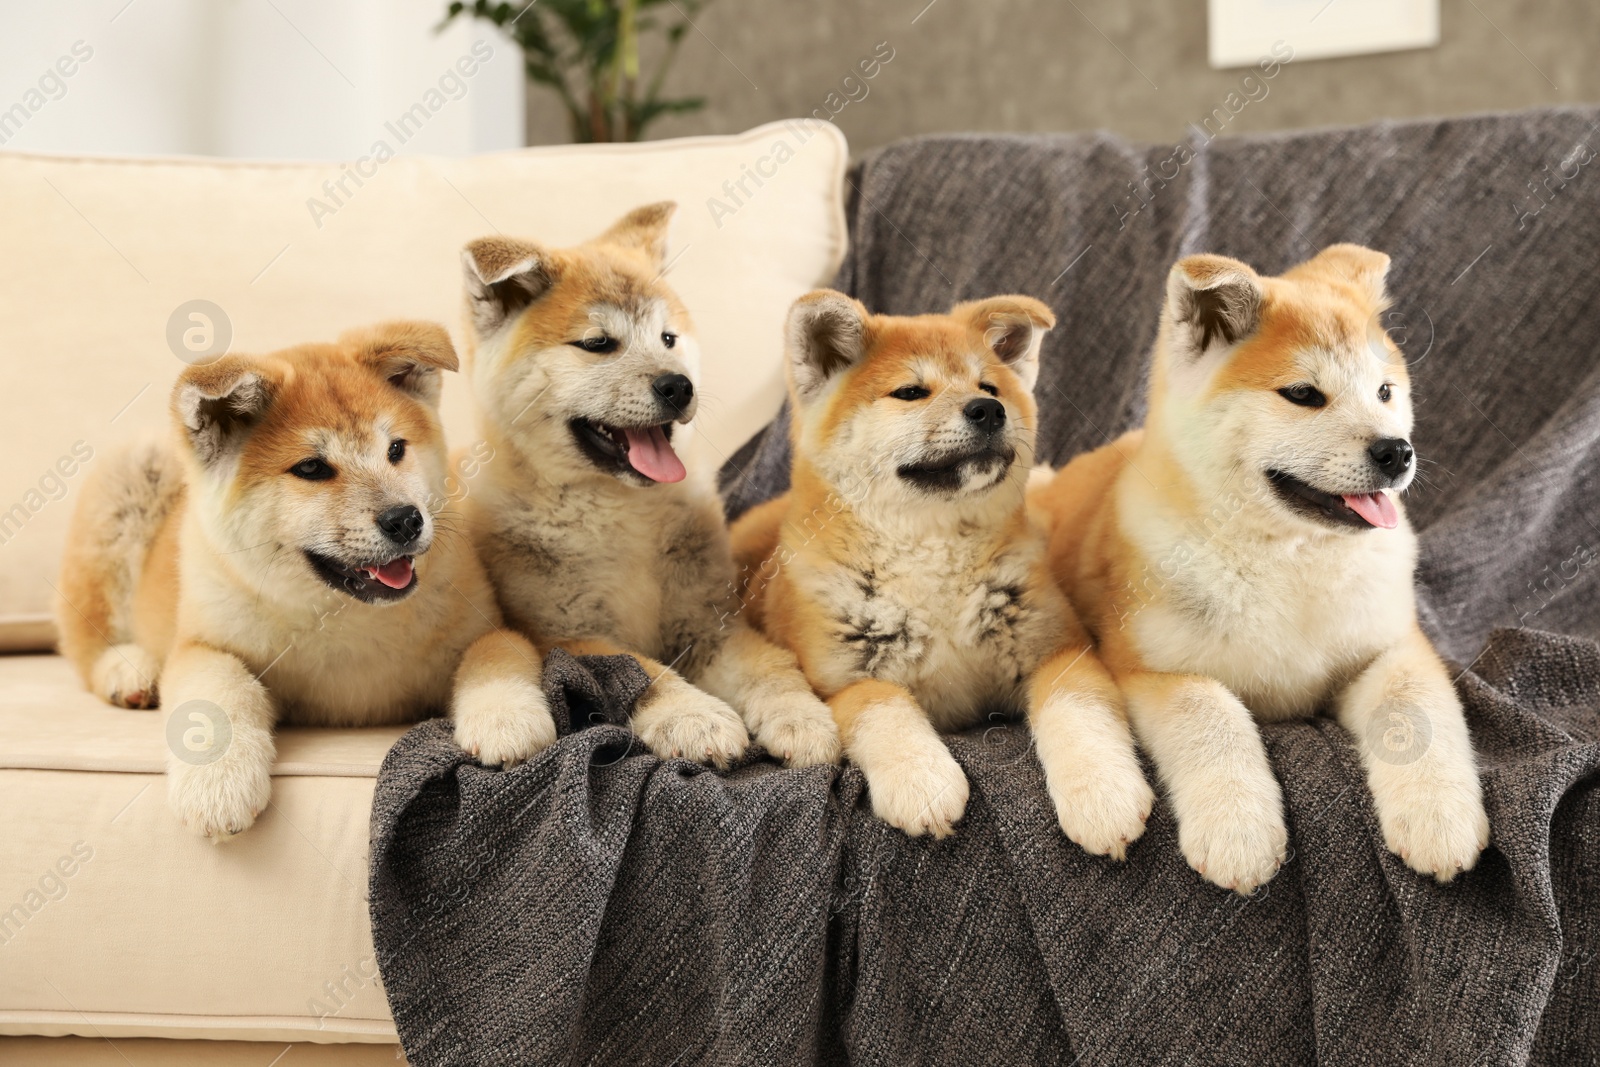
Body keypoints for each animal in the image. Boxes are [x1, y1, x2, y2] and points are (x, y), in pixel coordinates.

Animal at [58, 321, 556, 838]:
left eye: (396, 450)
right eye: (312, 468)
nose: (405, 520)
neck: (341, 616)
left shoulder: (488, 627)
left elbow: (494, 653)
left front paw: (507, 721)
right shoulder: (203, 645)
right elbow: (219, 690)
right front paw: (218, 786)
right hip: (126, 489)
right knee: (85, 641)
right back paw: (128, 672)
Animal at [457, 202, 838, 767]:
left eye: (668, 339)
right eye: (597, 344)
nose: (679, 386)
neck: (620, 512)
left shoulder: (707, 623)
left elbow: (770, 668)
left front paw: (802, 717)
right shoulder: (568, 633)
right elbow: (648, 672)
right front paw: (694, 717)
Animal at [732, 292, 1158, 851]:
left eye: (989, 387)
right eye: (911, 392)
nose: (989, 410)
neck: (932, 557)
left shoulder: (1060, 650)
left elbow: (1078, 712)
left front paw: (1102, 793)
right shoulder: (840, 682)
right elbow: (885, 706)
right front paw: (921, 780)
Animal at [1036, 247, 1484, 895]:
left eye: (1384, 391)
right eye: (1303, 394)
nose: (1397, 451)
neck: (1290, 559)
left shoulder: (1390, 646)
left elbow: (1413, 707)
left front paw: (1438, 817)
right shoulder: (1153, 667)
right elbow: (1213, 716)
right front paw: (1238, 831)